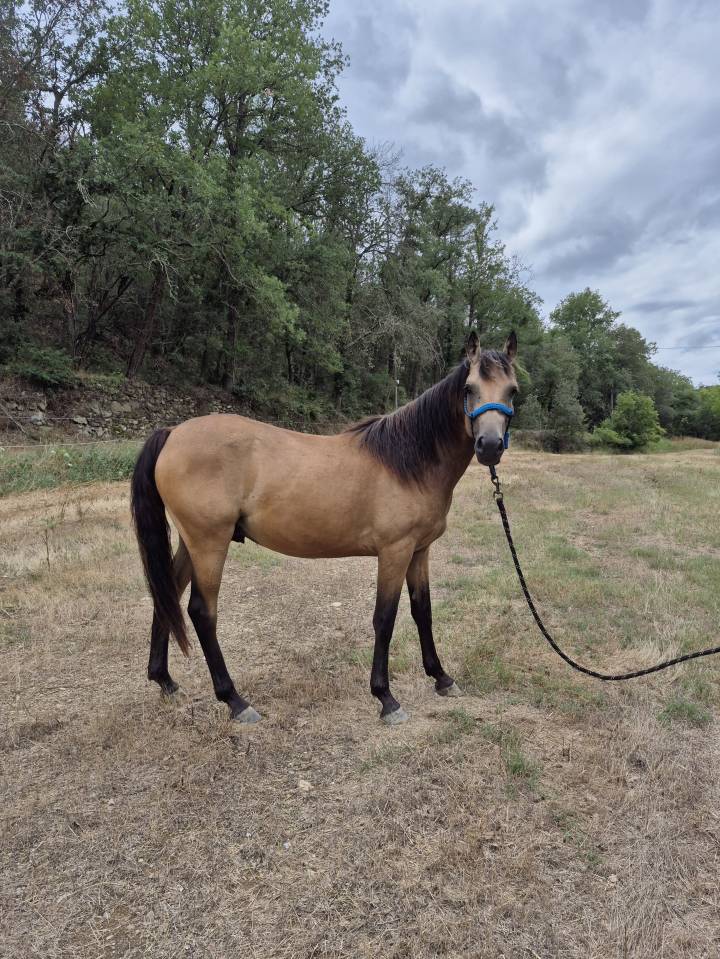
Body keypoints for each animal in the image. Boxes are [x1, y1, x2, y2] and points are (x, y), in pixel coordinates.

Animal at [131, 330, 519, 725]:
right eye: (469, 388)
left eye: (512, 391)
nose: (489, 446)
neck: (407, 462)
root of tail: (172, 432)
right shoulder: (394, 552)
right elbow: (385, 618)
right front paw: (386, 698)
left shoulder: (419, 550)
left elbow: (421, 610)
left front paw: (441, 678)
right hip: (209, 543)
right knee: (201, 612)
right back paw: (235, 701)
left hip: (191, 543)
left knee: (168, 594)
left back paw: (165, 681)